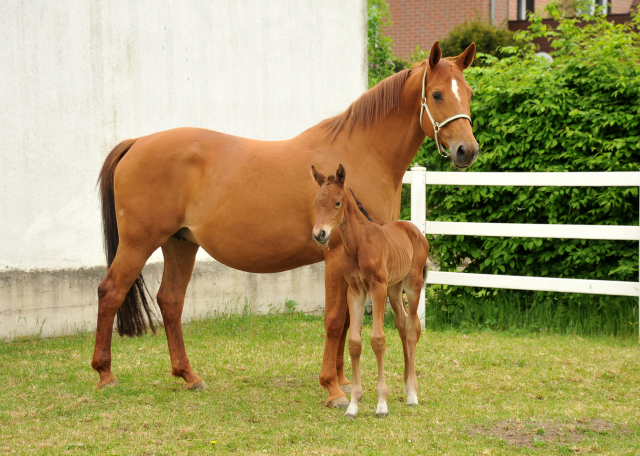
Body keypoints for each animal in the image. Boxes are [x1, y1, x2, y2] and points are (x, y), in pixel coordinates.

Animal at [312, 164, 430, 416]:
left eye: (337, 202)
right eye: (317, 202)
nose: (319, 234)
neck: (359, 243)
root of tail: (413, 228)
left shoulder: (377, 288)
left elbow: (377, 339)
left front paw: (381, 404)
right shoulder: (355, 290)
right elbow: (355, 342)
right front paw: (353, 405)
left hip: (412, 285)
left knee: (412, 327)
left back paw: (413, 394)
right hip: (394, 289)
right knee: (402, 324)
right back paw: (406, 386)